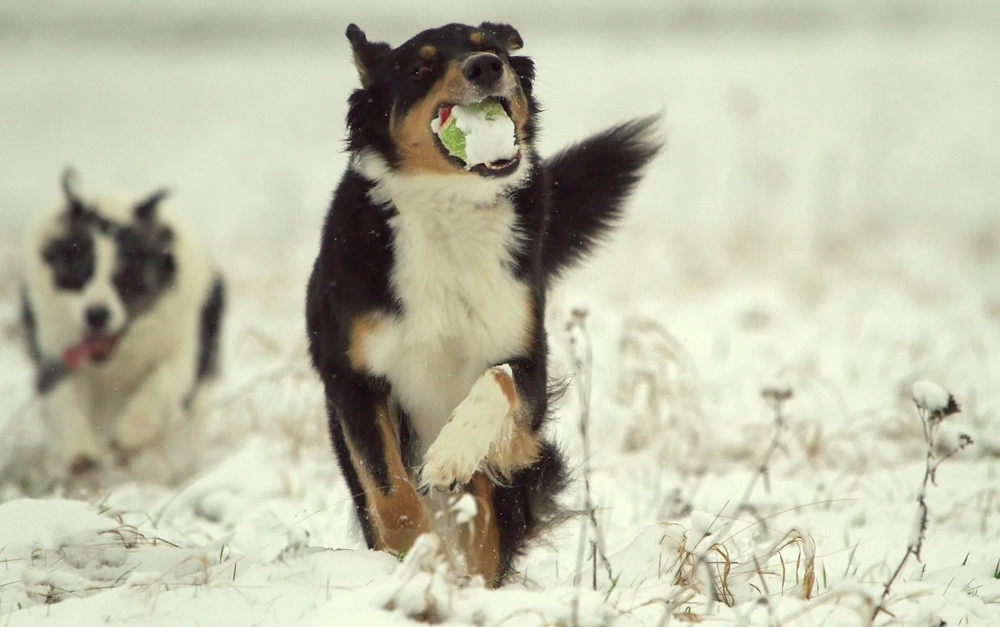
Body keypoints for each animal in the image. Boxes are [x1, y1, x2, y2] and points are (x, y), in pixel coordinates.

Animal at [304, 22, 664, 588]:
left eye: (490, 46)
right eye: (421, 66)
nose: (486, 67)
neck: (451, 204)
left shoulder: (528, 357)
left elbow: (499, 383)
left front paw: (452, 452)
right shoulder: (352, 379)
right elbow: (392, 495)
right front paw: (417, 561)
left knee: (490, 537)